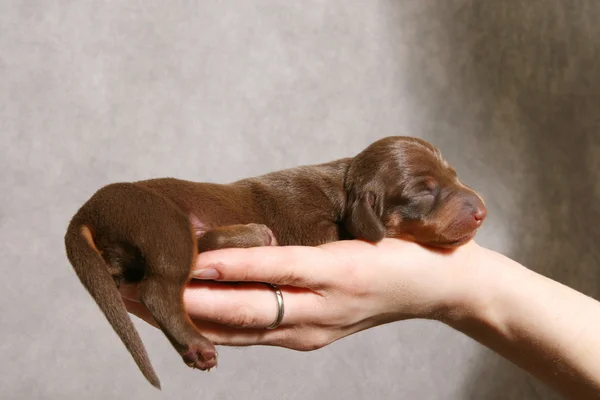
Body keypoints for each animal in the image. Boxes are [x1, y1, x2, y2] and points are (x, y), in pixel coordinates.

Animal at [64, 136, 488, 390]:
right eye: (423, 191)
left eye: (454, 175)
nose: (482, 211)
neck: (344, 188)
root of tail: (89, 209)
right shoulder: (312, 229)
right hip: (161, 221)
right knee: (160, 286)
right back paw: (200, 340)